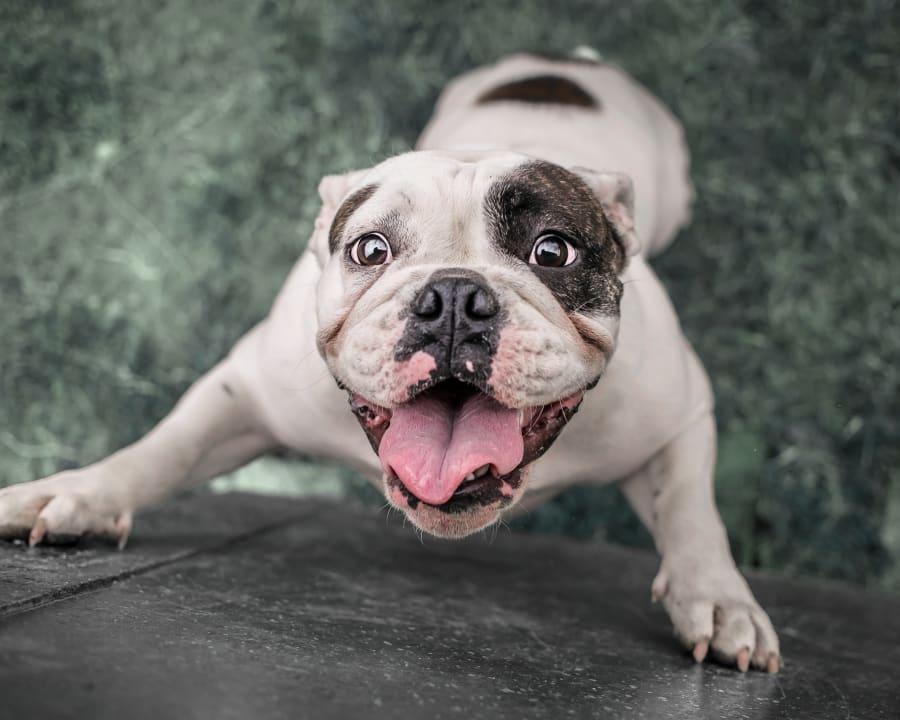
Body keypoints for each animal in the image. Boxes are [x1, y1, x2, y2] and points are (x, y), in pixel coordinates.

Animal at [0, 53, 780, 672]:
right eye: (369, 249)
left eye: (553, 250)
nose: (456, 297)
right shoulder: (247, 389)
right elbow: (166, 449)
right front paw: (80, 494)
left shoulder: (679, 410)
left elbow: (691, 507)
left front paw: (717, 597)